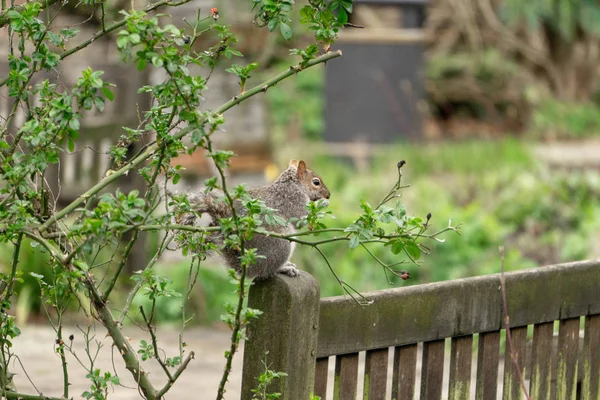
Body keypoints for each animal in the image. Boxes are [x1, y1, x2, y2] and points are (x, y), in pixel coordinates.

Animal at [183, 159, 332, 278]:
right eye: (316, 182)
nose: (328, 195)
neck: (294, 184)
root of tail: (247, 266)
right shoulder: (292, 200)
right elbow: (301, 217)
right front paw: (322, 203)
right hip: (280, 244)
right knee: (267, 271)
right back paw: (284, 268)